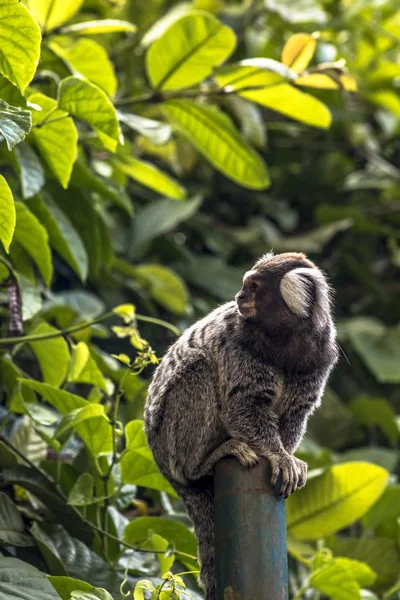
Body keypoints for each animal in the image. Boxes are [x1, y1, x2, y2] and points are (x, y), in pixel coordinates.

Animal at [144, 252, 338, 600]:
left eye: (254, 287)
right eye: (245, 285)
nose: (239, 297)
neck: (286, 338)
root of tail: (164, 468)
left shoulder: (320, 355)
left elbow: (294, 416)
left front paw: (288, 459)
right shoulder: (238, 343)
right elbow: (243, 405)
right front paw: (279, 457)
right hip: (169, 444)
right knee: (198, 368)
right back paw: (205, 461)